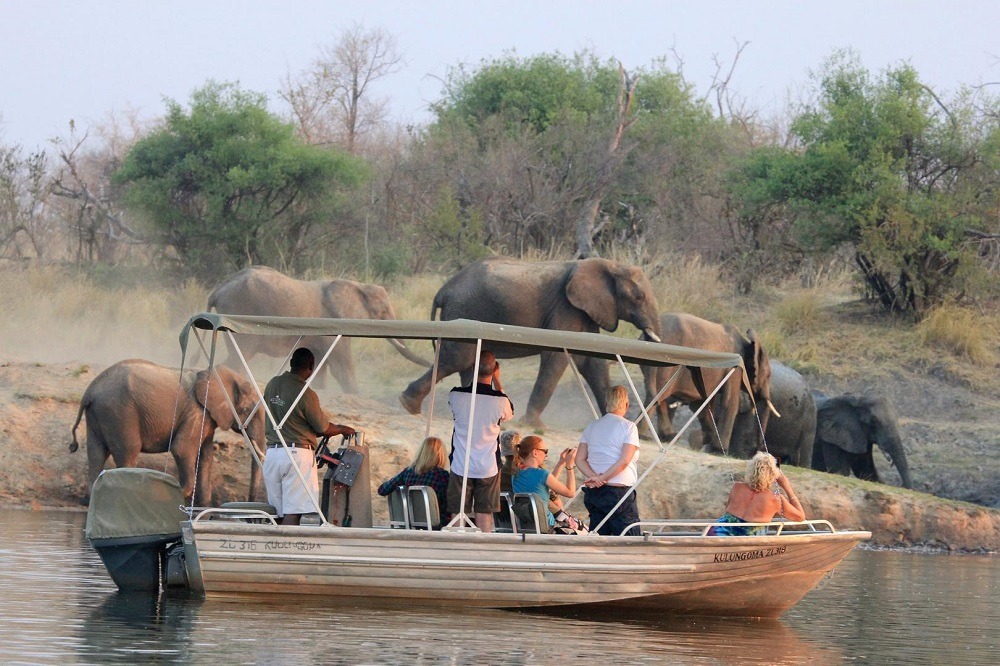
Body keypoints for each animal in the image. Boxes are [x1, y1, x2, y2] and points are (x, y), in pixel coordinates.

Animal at [68, 358, 268, 504]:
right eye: (247, 411)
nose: (250, 502)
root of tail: (90, 390)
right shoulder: (196, 412)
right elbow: (182, 449)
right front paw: (175, 493)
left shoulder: (206, 416)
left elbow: (206, 456)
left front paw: (203, 507)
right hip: (119, 413)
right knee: (127, 452)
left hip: (98, 414)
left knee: (96, 454)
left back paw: (91, 499)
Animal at [207, 264, 430, 392]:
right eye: (382, 312)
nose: (430, 363)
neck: (357, 285)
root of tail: (218, 289)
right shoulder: (334, 323)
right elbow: (341, 368)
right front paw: (353, 393)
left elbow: (318, 366)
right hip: (239, 312)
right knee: (239, 357)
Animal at [398, 254, 664, 426]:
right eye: (638, 298)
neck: (609, 264)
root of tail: (443, 290)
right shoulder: (566, 307)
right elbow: (557, 357)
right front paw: (532, 424)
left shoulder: (585, 311)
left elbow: (592, 361)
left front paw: (612, 419)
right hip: (465, 310)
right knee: (456, 358)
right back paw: (409, 405)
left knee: (467, 361)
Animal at [640, 312, 772, 452]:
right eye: (768, 375)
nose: (760, 448)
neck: (748, 343)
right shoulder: (735, 368)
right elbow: (730, 402)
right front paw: (719, 450)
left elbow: (702, 404)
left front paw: (704, 440)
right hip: (668, 363)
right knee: (659, 394)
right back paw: (646, 436)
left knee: (659, 396)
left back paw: (668, 436)